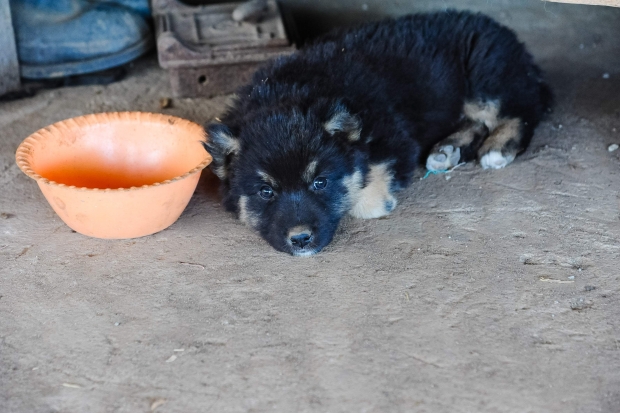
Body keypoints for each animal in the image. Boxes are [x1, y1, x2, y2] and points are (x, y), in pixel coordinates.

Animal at [205, 9, 552, 254]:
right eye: (266, 192)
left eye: (320, 182)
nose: (300, 239)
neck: (288, 92)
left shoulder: (394, 137)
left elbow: (366, 193)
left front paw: (375, 198)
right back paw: (446, 150)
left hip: (486, 74)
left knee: (519, 111)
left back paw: (498, 148)